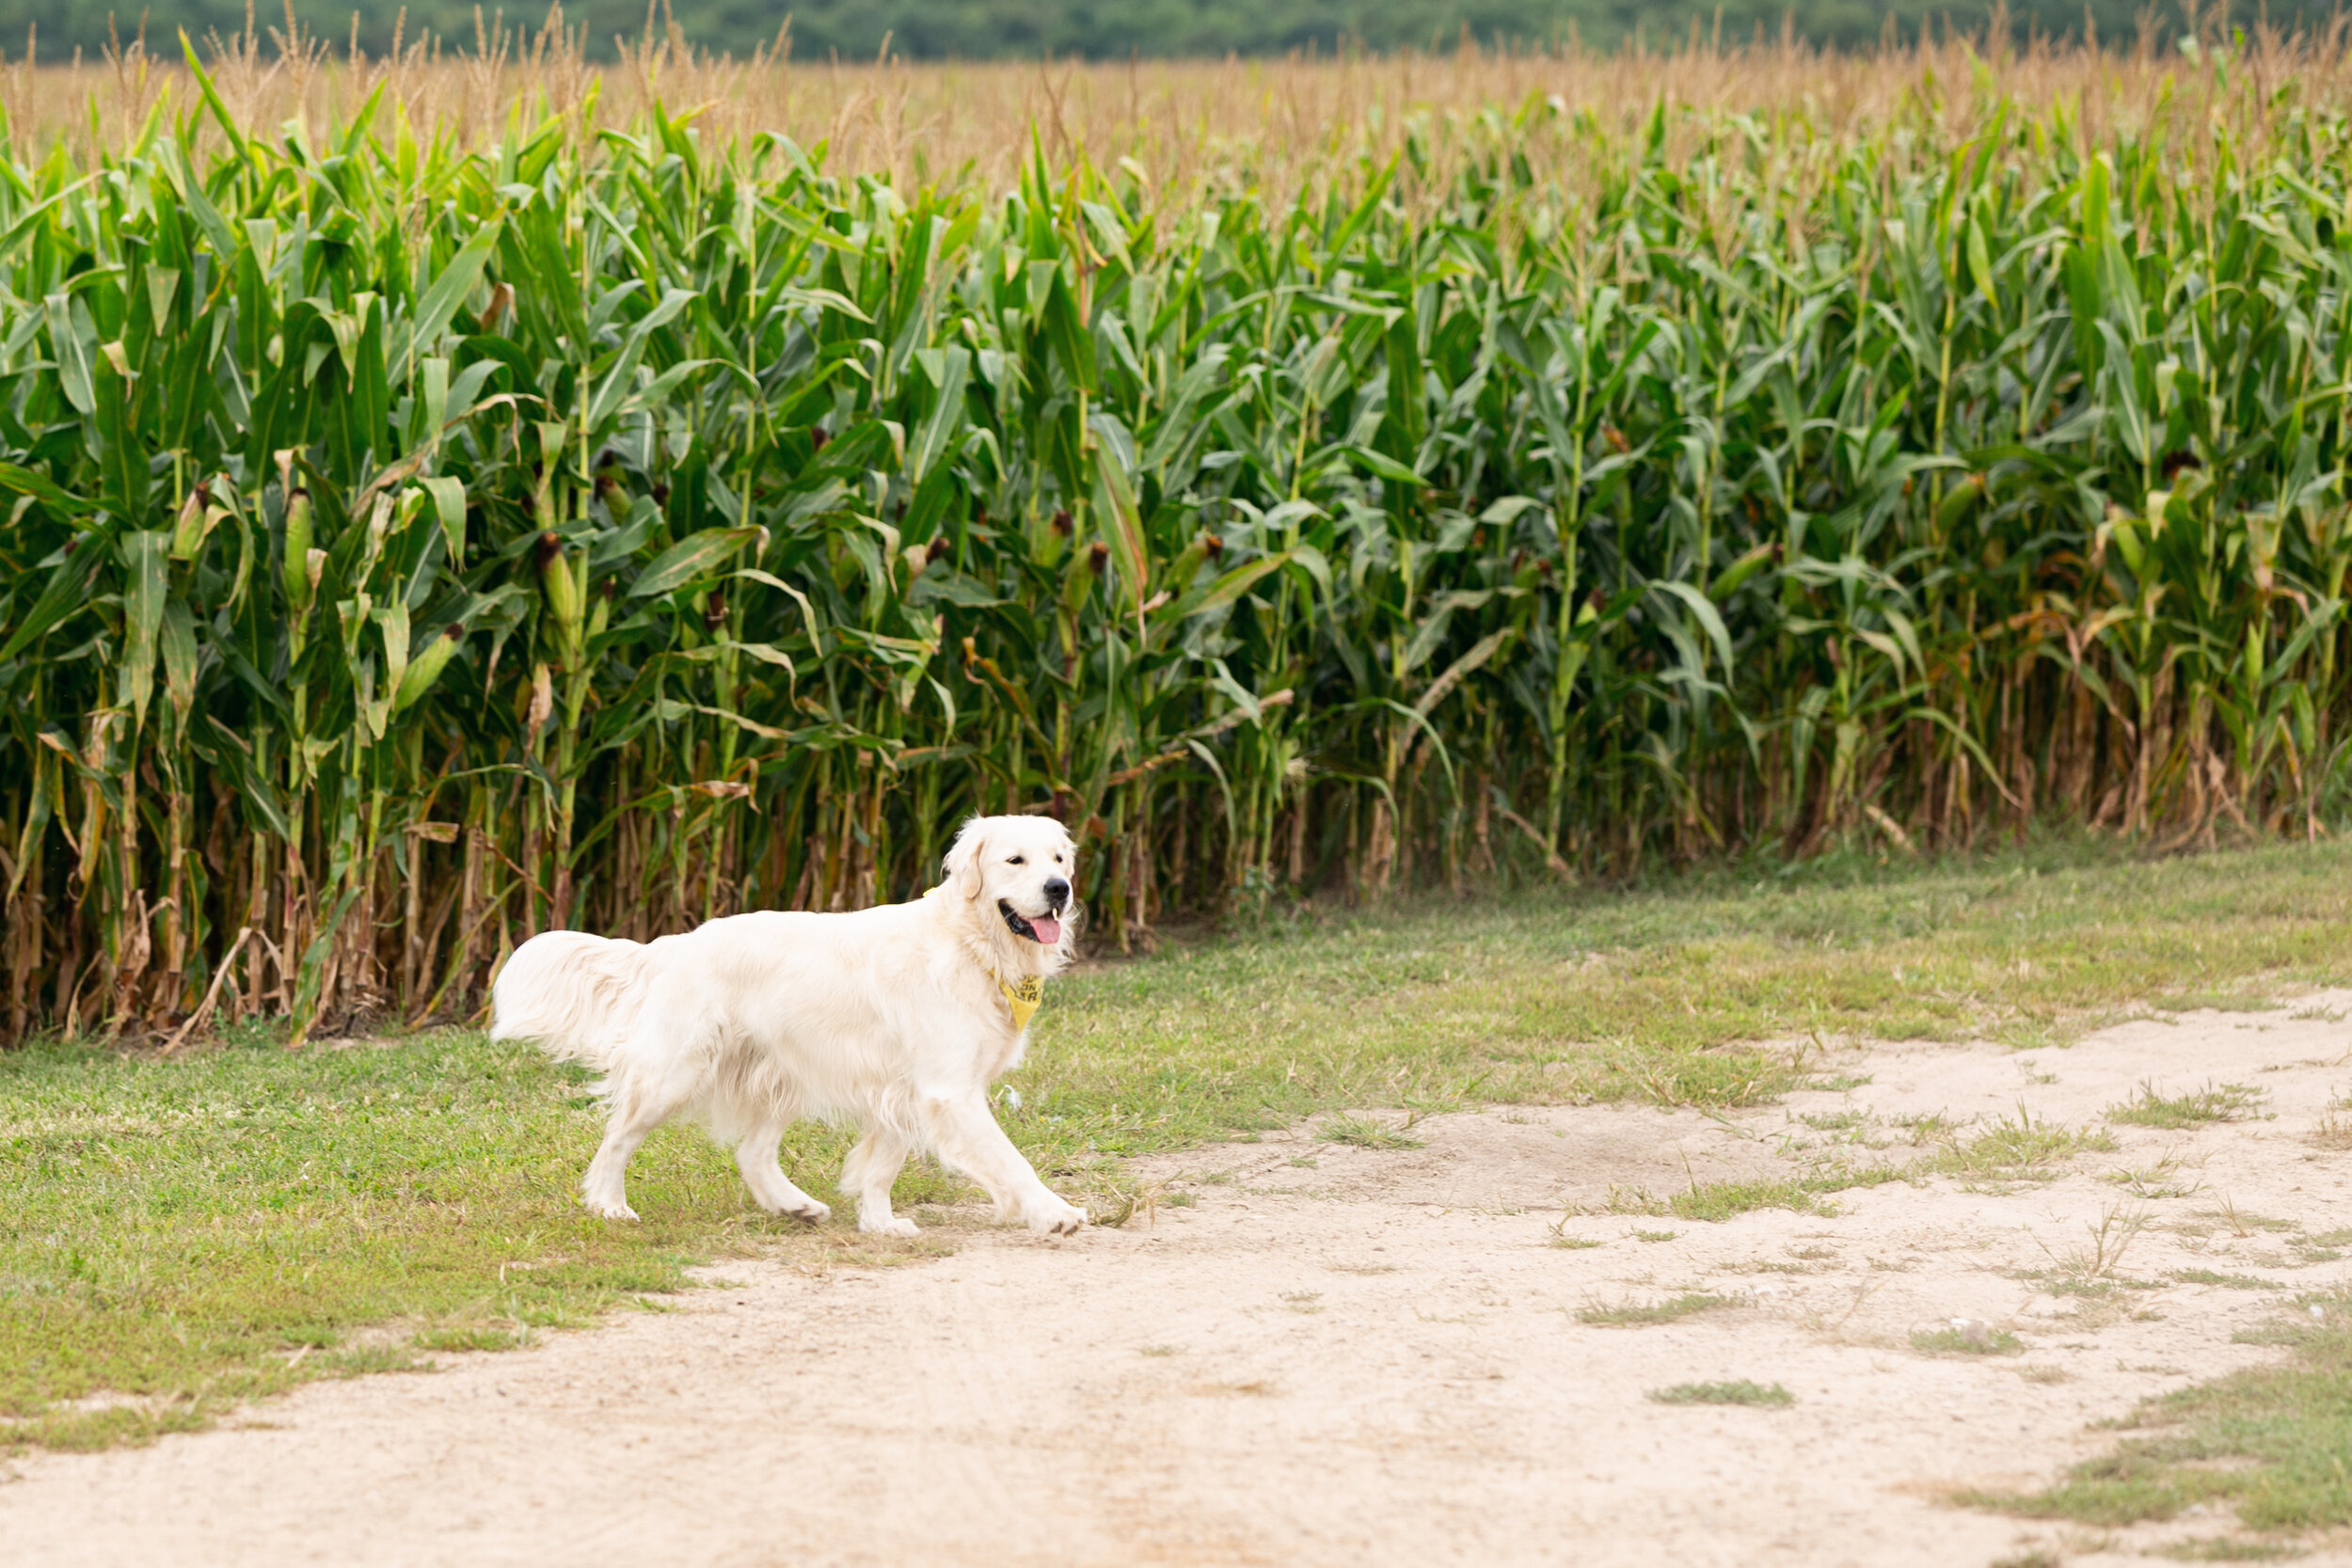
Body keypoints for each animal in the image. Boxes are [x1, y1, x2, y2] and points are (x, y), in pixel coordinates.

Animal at [494, 808, 1091, 1241]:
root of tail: (672, 945)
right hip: (676, 1073)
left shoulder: (903, 1088)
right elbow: (1010, 1159)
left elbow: (881, 1165)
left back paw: (795, 1205)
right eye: (1015, 860)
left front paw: (880, 1223)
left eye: (1059, 858)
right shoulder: (948, 1091)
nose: (1058, 888)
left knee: (752, 1152)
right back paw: (610, 1206)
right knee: (617, 1139)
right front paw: (1052, 1211)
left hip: (781, 1072)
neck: (973, 944)